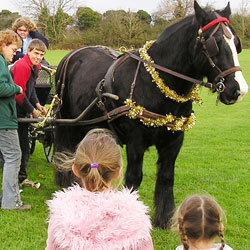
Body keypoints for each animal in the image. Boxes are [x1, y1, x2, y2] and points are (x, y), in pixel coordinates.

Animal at [53, 0, 247, 229]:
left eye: (236, 42)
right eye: (214, 43)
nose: (238, 90)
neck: (157, 82)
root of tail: (72, 55)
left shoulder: (174, 141)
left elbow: (166, 176)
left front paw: (163, 219)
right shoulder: (135, 141)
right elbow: (134, 177)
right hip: (68, 122)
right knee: (66, 151)